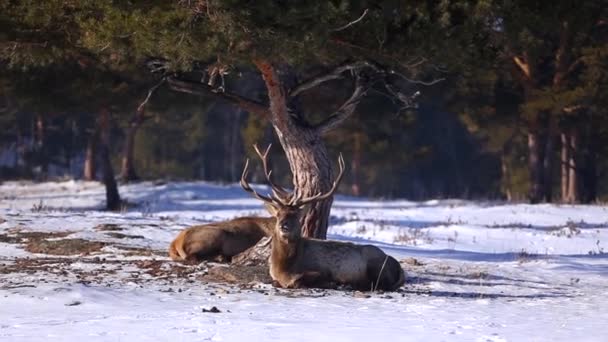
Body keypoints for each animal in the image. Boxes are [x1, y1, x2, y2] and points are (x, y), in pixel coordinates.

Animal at [240, 144, 406, 292]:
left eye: (296, 215)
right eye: (278, 214)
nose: (283, 226)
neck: (283, 266)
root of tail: (398, 267)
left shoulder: (321, 271)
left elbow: (298, 281)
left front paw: (333, 283)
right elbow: (276, 282)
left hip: (376, 265)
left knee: (378, 284)